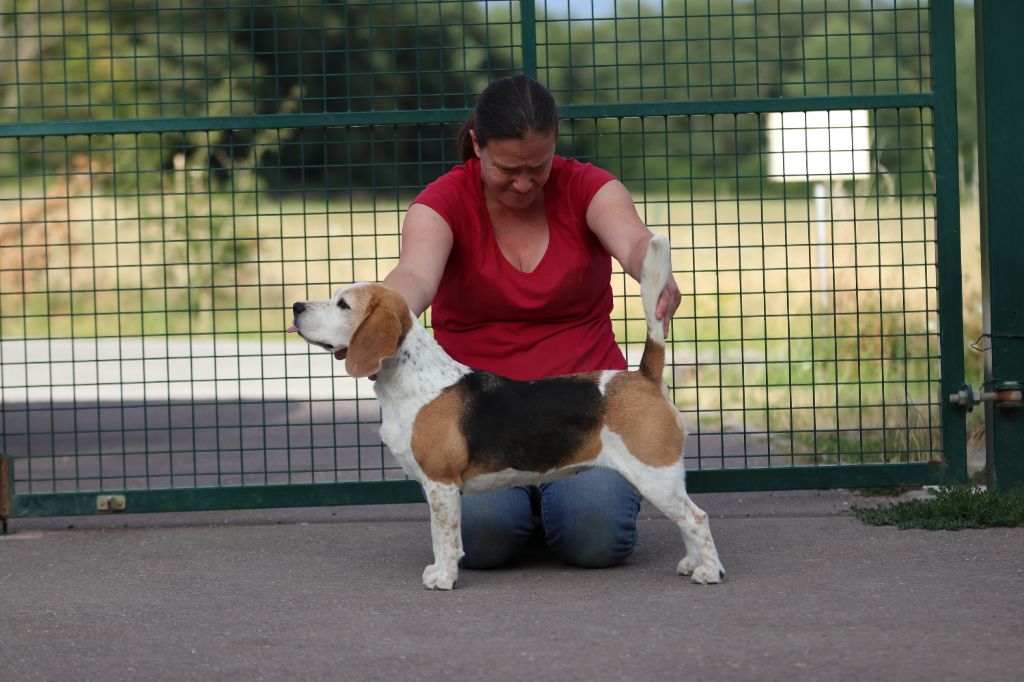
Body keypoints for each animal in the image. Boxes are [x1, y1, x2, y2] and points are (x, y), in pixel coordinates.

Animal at [284, 236, 724, 585]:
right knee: (688, 519)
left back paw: (709, 572)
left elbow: (446, 538)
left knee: (697, 518)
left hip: (654, 475)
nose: (296, 306)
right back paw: (691, 564)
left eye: (343, 304)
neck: (411, 380)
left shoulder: (442, 484)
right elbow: (436, 535)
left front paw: (444, 579)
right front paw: (437, 571)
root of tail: (644, 375)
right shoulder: (434, 487)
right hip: (659, 479)